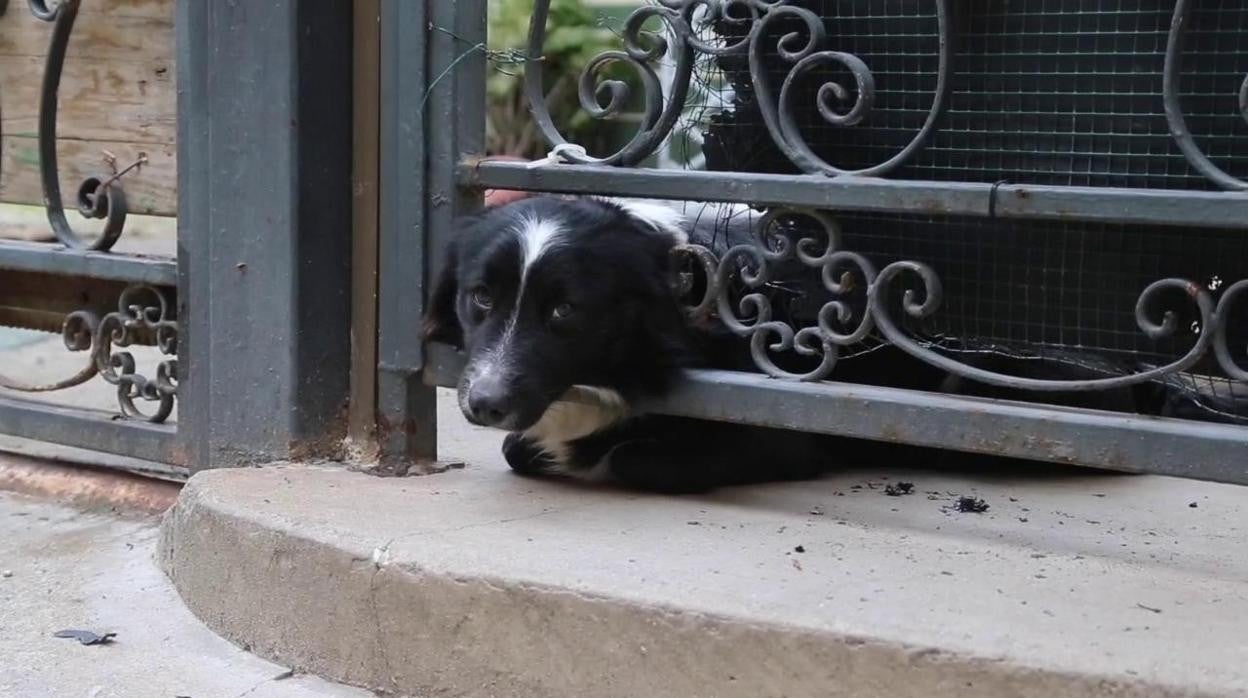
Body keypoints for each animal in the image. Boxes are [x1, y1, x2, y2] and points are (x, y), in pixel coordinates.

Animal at [424, 194, 938, 491]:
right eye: (481, 296)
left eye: (564, 310)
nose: (485, 404)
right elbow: (518, 448)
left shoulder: (788, 434)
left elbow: (633, 459)